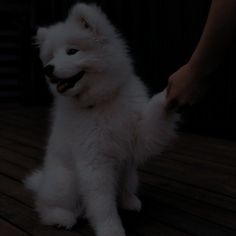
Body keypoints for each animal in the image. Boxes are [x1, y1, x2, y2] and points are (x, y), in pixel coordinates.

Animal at [24, 2, 178, 236]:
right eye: (51, 57)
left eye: (72, 51)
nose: (47, 69)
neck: (102, 101)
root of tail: (43, 181)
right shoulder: (94, 160)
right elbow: (102, 202)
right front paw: (111, 229)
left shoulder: (138, 138)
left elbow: (153, 119)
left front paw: (168, 94)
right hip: (66, 181)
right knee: (45, 204)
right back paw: (61, 217)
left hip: (130, 174)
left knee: (123, 188)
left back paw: (128, 201)